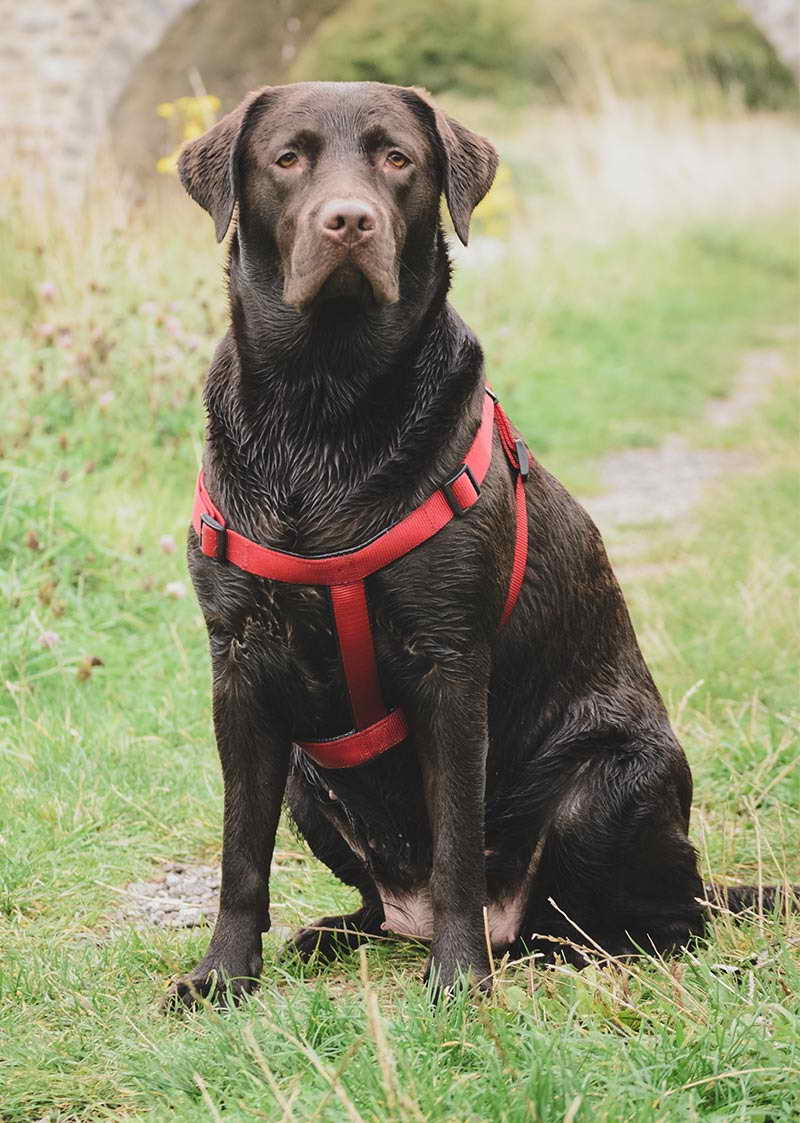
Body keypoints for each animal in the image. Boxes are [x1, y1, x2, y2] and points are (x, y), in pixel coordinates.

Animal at [167, 81, 786, 1010]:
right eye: (287, 158)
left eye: (397, 159)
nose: (348, 221)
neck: (323, 404)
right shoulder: (238, 664)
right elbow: (241, 852)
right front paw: (221, 976)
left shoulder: (451, 665)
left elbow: (456, 840)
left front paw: (459, 979)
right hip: (311, 776)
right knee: (381, 909)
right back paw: (334, 933)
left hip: (607, 785)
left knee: (658, 920)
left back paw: (551, 950)